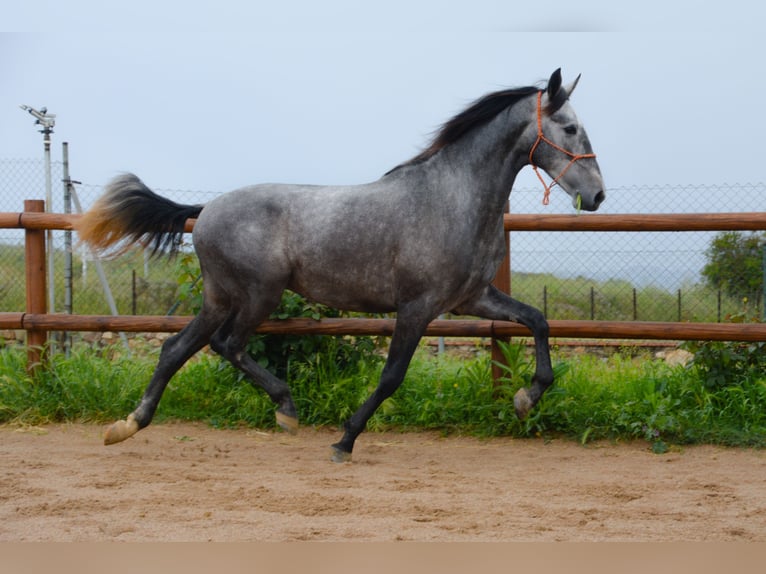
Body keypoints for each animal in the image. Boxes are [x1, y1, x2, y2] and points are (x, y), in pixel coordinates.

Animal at [77, 68, 605, 462]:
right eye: (570, 127)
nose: (597, 195)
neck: (451, 198)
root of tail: (205, 210)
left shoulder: (473, 299)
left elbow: (538, 321)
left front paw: (525, 400)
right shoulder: (417, 306)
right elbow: (392, 376)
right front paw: (344, 440)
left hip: (220, 296)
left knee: (176, 348)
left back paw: (126, 425)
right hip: (258, 293)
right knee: (227, 345)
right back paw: (286, 409)